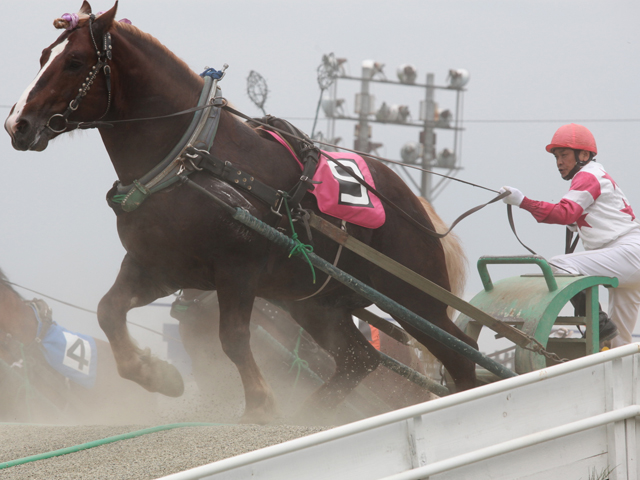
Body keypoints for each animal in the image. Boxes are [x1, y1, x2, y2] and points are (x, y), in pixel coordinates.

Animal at [3, 2, 476, 424]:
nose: (17, 124)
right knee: (359, 359)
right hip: (318, 303)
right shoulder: (159, 267)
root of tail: (413, 203)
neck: (190, 158)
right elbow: (108, 310)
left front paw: (261, 404)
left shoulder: (237, 270)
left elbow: (231, 338)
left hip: (415, 299)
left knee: (461, 358)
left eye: (74, 61)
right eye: (44, 56)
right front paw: (157, 375)